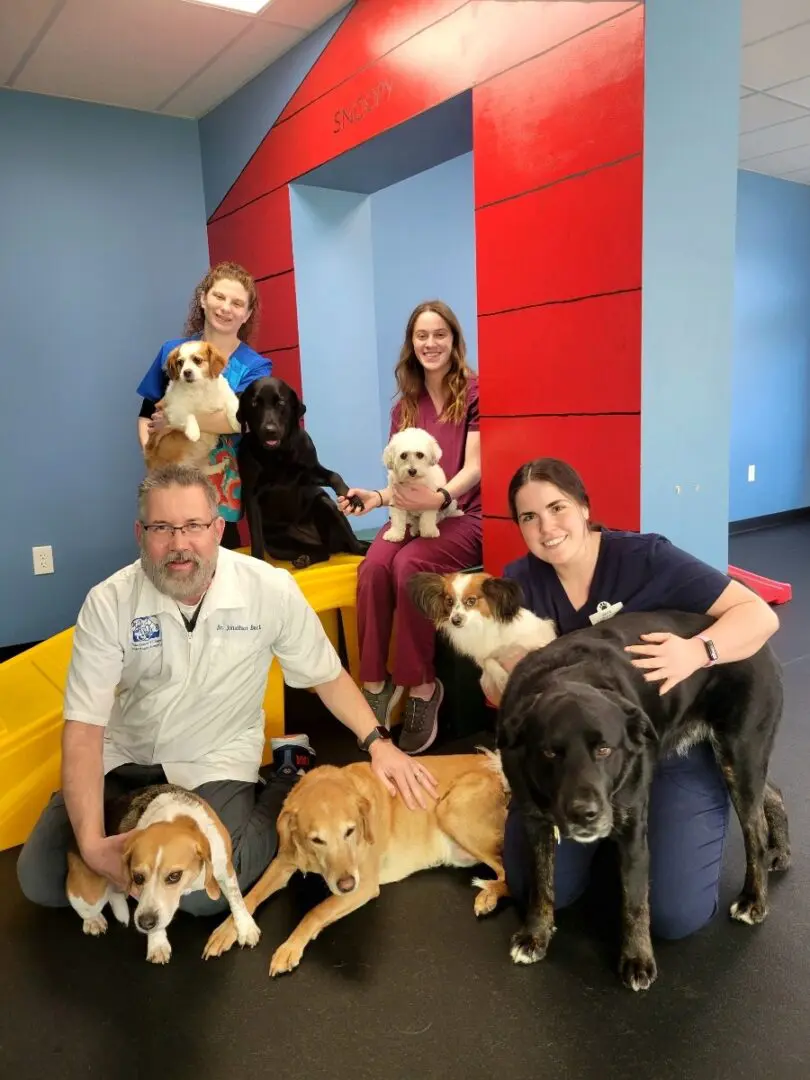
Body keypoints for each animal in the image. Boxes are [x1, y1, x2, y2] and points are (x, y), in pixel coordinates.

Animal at [68, 781, 263, 967]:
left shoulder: (224, 867)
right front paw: (157, 944)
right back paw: (93, 921)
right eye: (137, 877)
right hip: (89, 896)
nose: (145, 923)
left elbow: (236, 897)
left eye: (174, 876)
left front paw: (245, 926)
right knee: (84, 908)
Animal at [201, 756, 507, 976]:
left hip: (451, 809)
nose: (346, 884)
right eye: (317, 839)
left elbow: (315, 911)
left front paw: (290, 946)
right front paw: (230, 929)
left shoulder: (364, 886)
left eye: (350, 831)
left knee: (507, 870)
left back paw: (488, 896)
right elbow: (250, 895)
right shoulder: (285, 861)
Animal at [237, 378, 367, 570]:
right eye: (254, 404)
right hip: (279, 544)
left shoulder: (310, 471)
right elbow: (256, 537)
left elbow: (335, 475)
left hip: (326, 504)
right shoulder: (251, 494)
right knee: (323, 553)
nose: (269, 430)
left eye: (280, 403)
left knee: (353, 545)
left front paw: (352, 497)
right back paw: (304, 559)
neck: (277, 454)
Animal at [412, 574, 557, 699]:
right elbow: (489, 662)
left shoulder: (535, 642)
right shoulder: (481, 658)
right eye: (449, 602)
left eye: (471, 601)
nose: (455, 620)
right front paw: (502, 678)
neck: (479, 625)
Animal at [498, 613, 790, 989]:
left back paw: (754, 898)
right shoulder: (535, 822)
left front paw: (637, 959)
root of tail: (766, 649)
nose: (584, 814)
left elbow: (635, 900)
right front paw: (535, 934)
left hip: (740, 755)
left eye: (604, 750)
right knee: (773, 793)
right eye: (550, 753)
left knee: (756, 830)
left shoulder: (632, 828)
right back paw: (781, 851)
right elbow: (540, 883)